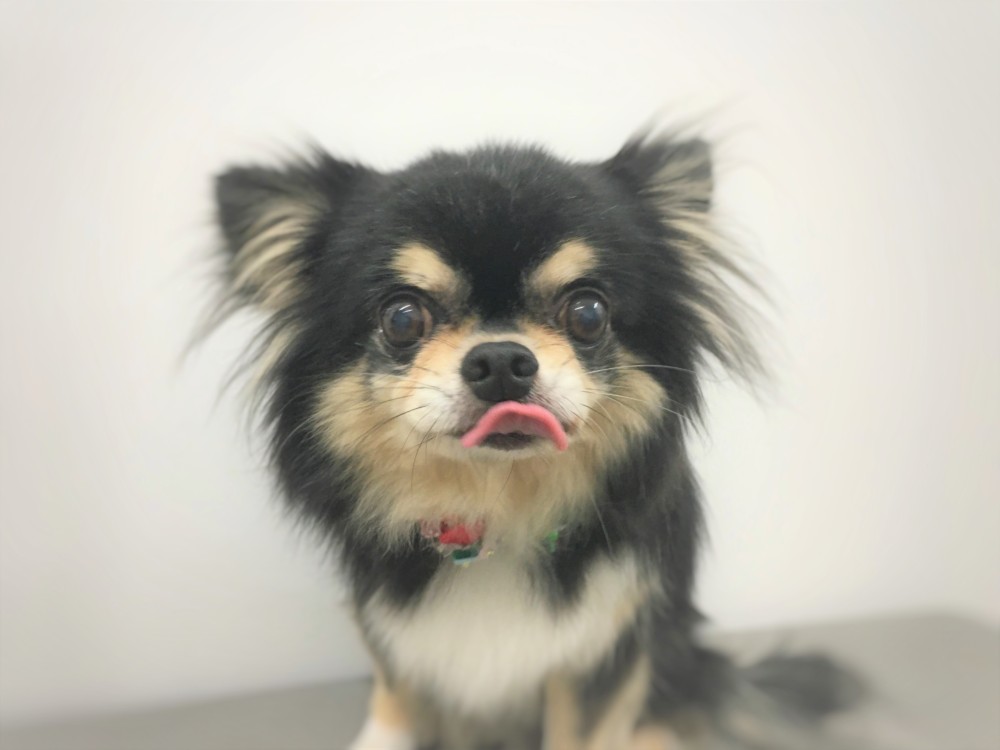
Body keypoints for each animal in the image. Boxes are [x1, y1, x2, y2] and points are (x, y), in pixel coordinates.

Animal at [209, 130, 864, 749]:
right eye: (402, 317)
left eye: (588, 312)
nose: (501, 359)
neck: (499, 511)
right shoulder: (393, 635)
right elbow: (393, 702)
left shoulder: (603, 649)